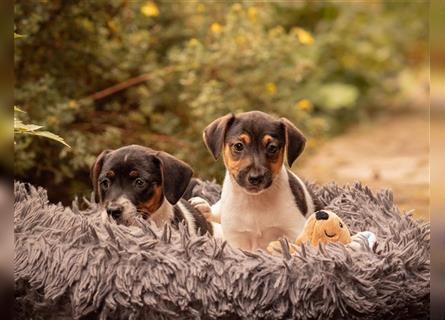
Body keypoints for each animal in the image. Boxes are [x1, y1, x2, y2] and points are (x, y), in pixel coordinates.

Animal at [199, 111, 320, 251]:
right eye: (238, 146)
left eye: (272, 147)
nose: (255, 178)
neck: (255, 200)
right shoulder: (236, 238)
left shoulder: (295, 229)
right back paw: (202, 206)